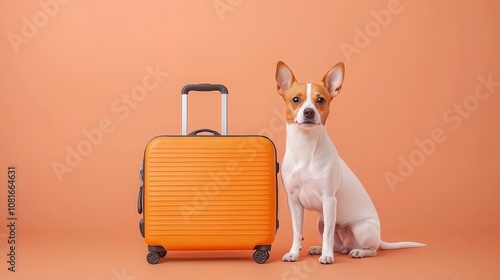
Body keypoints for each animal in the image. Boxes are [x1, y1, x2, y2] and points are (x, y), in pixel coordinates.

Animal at [276, 60, 424, 264]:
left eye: (320, 100)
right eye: (296, 100)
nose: (309, 111)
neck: (305, 148)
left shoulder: (329, 200)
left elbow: (328, 234)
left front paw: (327, 256)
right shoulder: (294, 202)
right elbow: (297, 232)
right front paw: (294, 253)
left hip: (362, 229)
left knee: (372, 249)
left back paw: (356, 252)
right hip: (321, 222)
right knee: (338, 245)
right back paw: (321, 248)